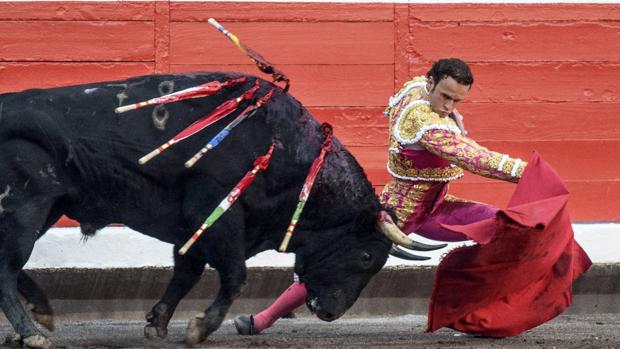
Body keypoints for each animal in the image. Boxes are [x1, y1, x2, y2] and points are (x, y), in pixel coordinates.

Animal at [0, 72, 440, 346]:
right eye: (366, 256)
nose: (331, 313)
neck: (291, 152)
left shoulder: (193, 230)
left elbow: (186, 273)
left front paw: (158, 323)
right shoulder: (218, 215)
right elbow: (234, 275)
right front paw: (199, 328)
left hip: (46, 210)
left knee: (12, 266)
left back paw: (40, 315)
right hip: (25, 209)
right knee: (7, 267)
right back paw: (32, 331)